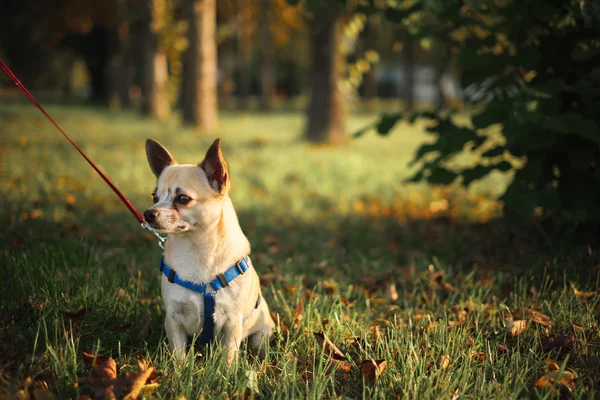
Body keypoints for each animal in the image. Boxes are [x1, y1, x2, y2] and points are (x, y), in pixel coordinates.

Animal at [144, 139, 276, 364]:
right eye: (155, 197)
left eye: (183, 198)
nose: (148, 213)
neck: (196, 251)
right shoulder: (173, 320)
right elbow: (178, 354)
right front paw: (179, 370)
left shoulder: (232, 323)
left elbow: (229, 355)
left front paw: (228, 371)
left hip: (261, 333)